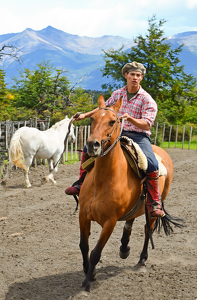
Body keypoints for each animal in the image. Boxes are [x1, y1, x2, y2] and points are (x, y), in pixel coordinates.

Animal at [78, 94, 180, 290]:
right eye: (92, 118)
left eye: (112, 121)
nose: (92, 145)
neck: (101, 180)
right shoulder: (83, 216)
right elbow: (84, 246)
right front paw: (88, 271)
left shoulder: (109, 222)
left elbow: (96, 252)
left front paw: (87, 282)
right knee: (130, 220)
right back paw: (124, 248)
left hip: (152, 210)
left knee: (148, 229)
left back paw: (142, 260)